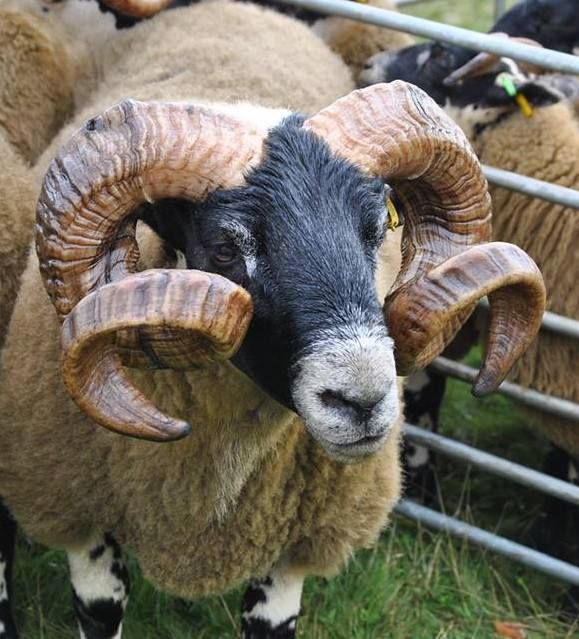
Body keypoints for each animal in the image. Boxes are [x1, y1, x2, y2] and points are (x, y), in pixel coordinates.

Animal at [0, 1, 548, 639]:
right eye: (224, 249)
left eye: (377, 228)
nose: (361, 401)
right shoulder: (80, 516)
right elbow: (100, 607)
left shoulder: (292, 546)